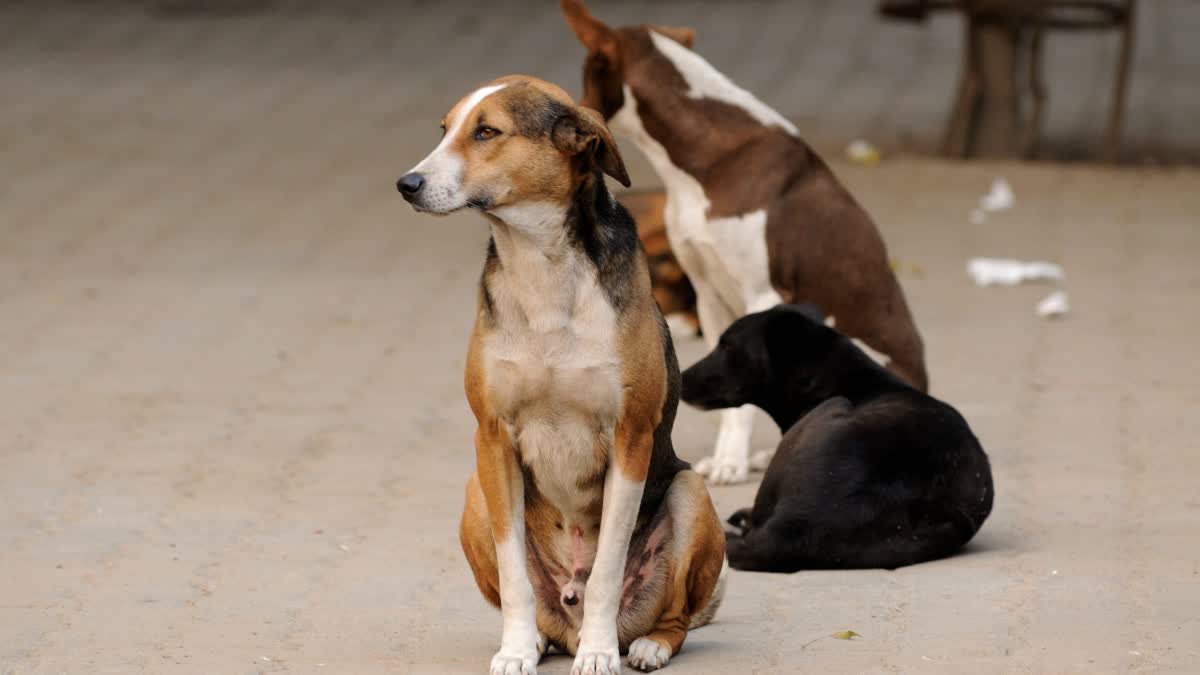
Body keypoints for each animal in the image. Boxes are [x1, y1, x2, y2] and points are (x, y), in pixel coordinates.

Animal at [398, 74, 724, 672]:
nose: (406, 184)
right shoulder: (492, 438)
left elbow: (606, 573)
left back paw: (642, 645)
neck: (540, 264)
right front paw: (515, 649)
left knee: (676, 617)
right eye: (445, 129)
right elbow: (514, 579)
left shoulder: (631, 438)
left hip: (691, 492)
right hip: (475, 491)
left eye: (486, 132)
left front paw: (598, 653)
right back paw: (540, 640)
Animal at [561, 0, 926, 482]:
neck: (701, 163)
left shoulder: (762, 294)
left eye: (584, 79)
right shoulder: (709, 294)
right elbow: (730, 396)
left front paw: (732, 462)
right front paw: (728, 455)